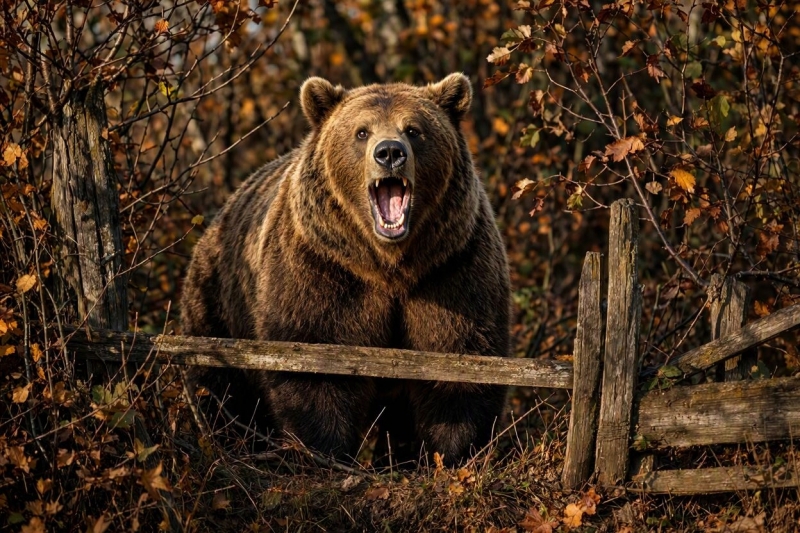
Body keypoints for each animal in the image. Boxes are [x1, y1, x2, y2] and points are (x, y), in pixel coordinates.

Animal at [180, 73, 510, 465]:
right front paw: (324, 451)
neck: (389, 265)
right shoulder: (324, 268)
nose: (390, 152)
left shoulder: (451, 268)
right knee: (219, 387)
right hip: (218, 301)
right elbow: (317, 364)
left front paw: (452, 454)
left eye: (414, 130)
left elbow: (458, 363)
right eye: (362, 132)